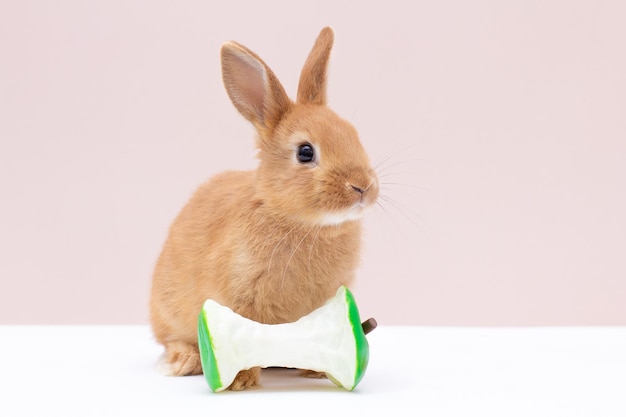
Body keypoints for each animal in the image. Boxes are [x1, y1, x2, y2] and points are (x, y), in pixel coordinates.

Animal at [149, 26, 378, 390]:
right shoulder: (238, 301)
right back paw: (183, 361)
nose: (363, 186)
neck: (300, 222)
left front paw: (316, 371)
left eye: (353, 135)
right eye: (305, 152)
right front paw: (241, 381)